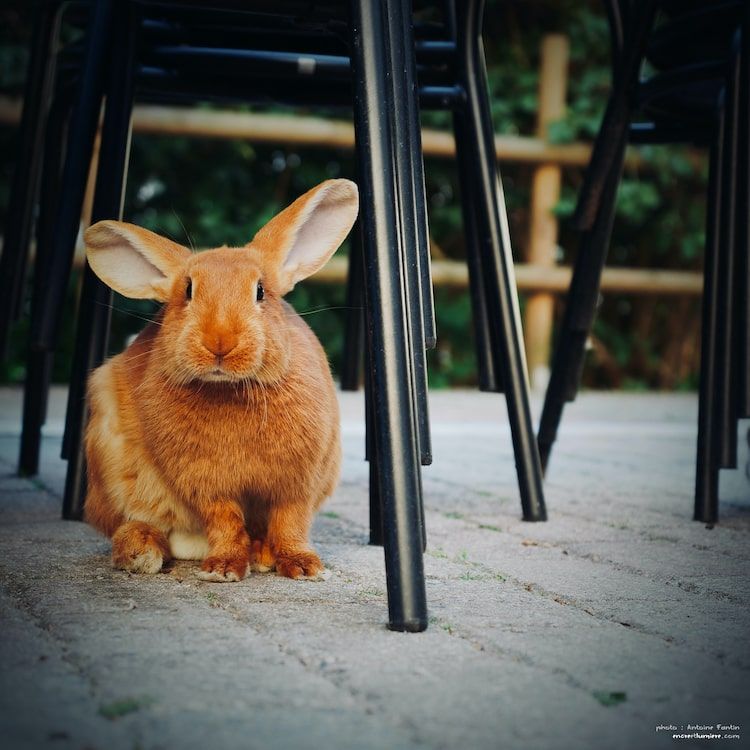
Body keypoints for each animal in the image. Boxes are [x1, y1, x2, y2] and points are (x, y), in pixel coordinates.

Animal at [82, 178, 358, 582]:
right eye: (187, 291)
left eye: (260, 291)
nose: (219, 341)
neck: (231, 387)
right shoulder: (206, 486)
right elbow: (224, 519)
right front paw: (223, 568)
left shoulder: (298, 482)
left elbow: (290, 521)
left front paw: (304, 566)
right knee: (136, 522)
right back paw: (141, 552)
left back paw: (261, 554)